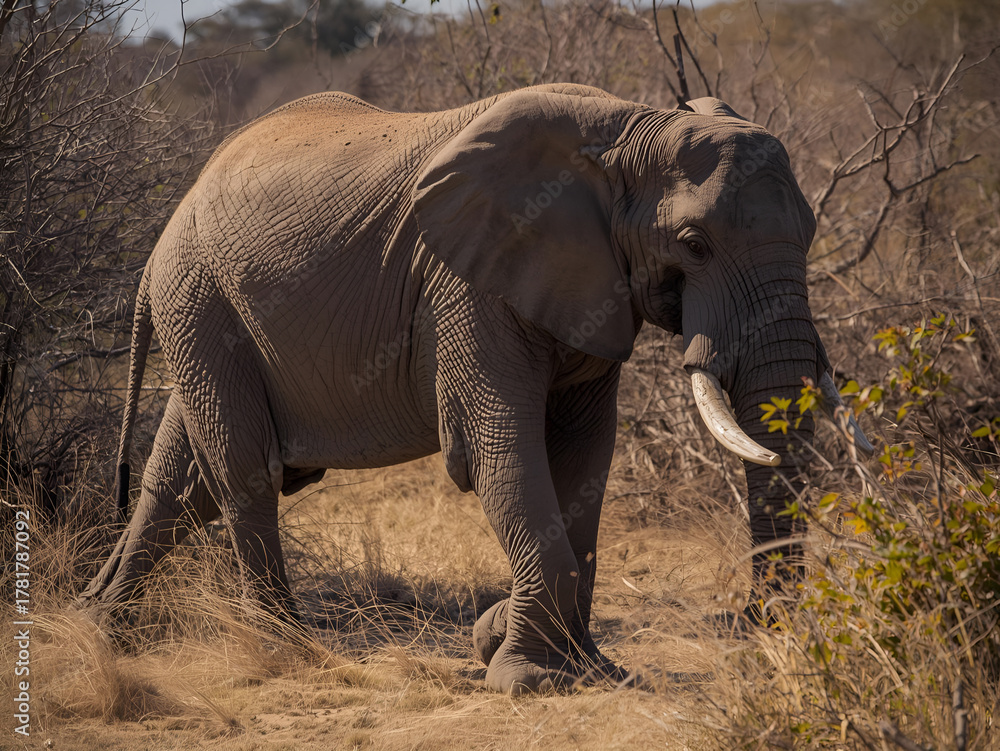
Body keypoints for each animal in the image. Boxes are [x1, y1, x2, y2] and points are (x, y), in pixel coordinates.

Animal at [79, 83, 871, 695]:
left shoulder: (588, 286)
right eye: (694, 245)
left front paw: (585, 667)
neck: (628, 130)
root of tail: (166, 228)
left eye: (810, 232)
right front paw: (528, 675)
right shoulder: (466, 284)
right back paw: (287, 649)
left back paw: (97, 622)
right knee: (246, 470)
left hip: (202, 307)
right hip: (200, 295)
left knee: (182, 477)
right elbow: (502, 450)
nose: (756, 631)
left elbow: (585, 457)